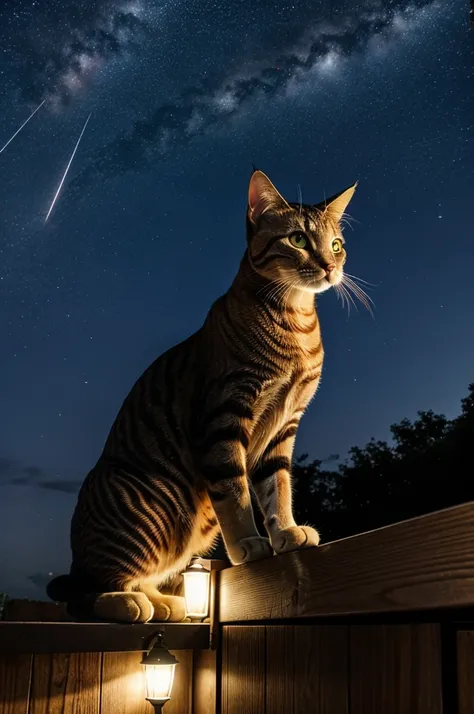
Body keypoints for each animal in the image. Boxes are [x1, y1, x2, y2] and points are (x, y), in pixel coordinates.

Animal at [47, 170, 356, 620]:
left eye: (336, 244)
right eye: (298, 239)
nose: (331, 266)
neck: (295, 320)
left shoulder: (285, 425)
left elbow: (277, 487)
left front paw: (285, 531)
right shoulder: (225, 414)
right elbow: (235, 492)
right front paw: (248, 543)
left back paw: (164, 602)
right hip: (148, 509)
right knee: (88, 591)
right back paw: (125, 601)